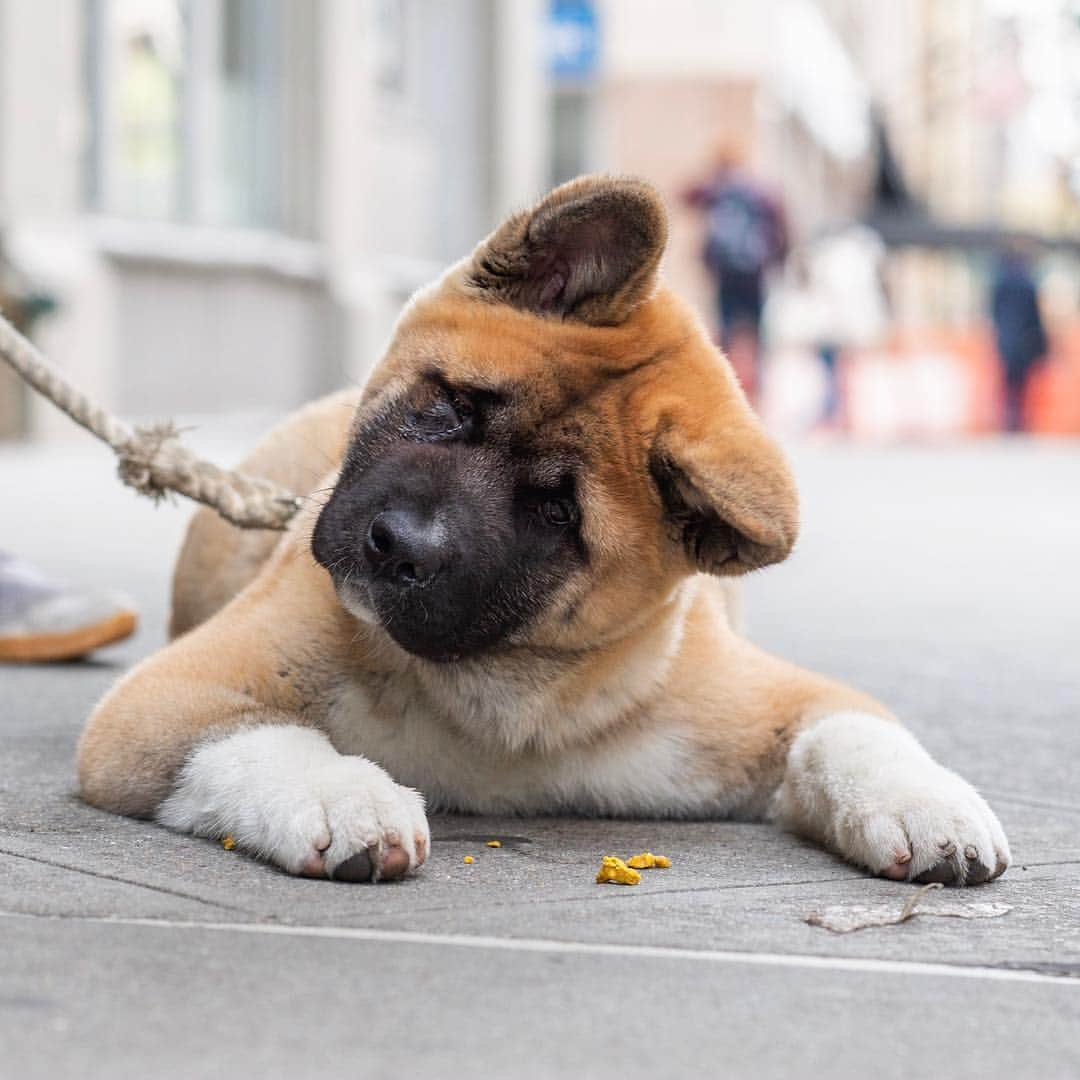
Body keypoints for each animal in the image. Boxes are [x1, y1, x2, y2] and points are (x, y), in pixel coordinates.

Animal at [78, 174, 1010, 885]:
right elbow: (266, 738)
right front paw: (345, 795)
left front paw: (926, 803)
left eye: (555, 513)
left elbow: (855, 733)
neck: (494, 692)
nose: (400, 546)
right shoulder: (164, 700)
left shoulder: (779, 700)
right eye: (452, 408)